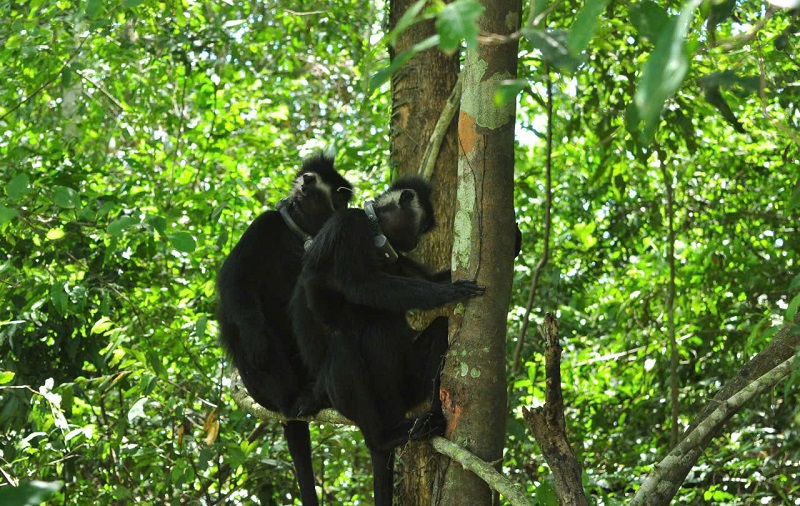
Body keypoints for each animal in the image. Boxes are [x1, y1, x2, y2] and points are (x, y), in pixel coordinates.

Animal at [216, 154, 350, 506]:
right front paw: (255, 339)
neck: (300, 235)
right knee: (263, 343)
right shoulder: (262, 227)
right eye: (340, 196)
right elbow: (236, 282)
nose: (348, 207)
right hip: (262, 385)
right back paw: (293, 401)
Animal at [292, 177, 484, 506]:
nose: (414, 242)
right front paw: (450, 293)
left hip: (409, 387)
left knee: (440, 330)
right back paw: (382, 439)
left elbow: (425, 281)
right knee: (343, 343)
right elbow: (360, 286)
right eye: (421, 227)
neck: (374, 234)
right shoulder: (349, 226)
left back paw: (431, 420)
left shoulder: (396, 258)